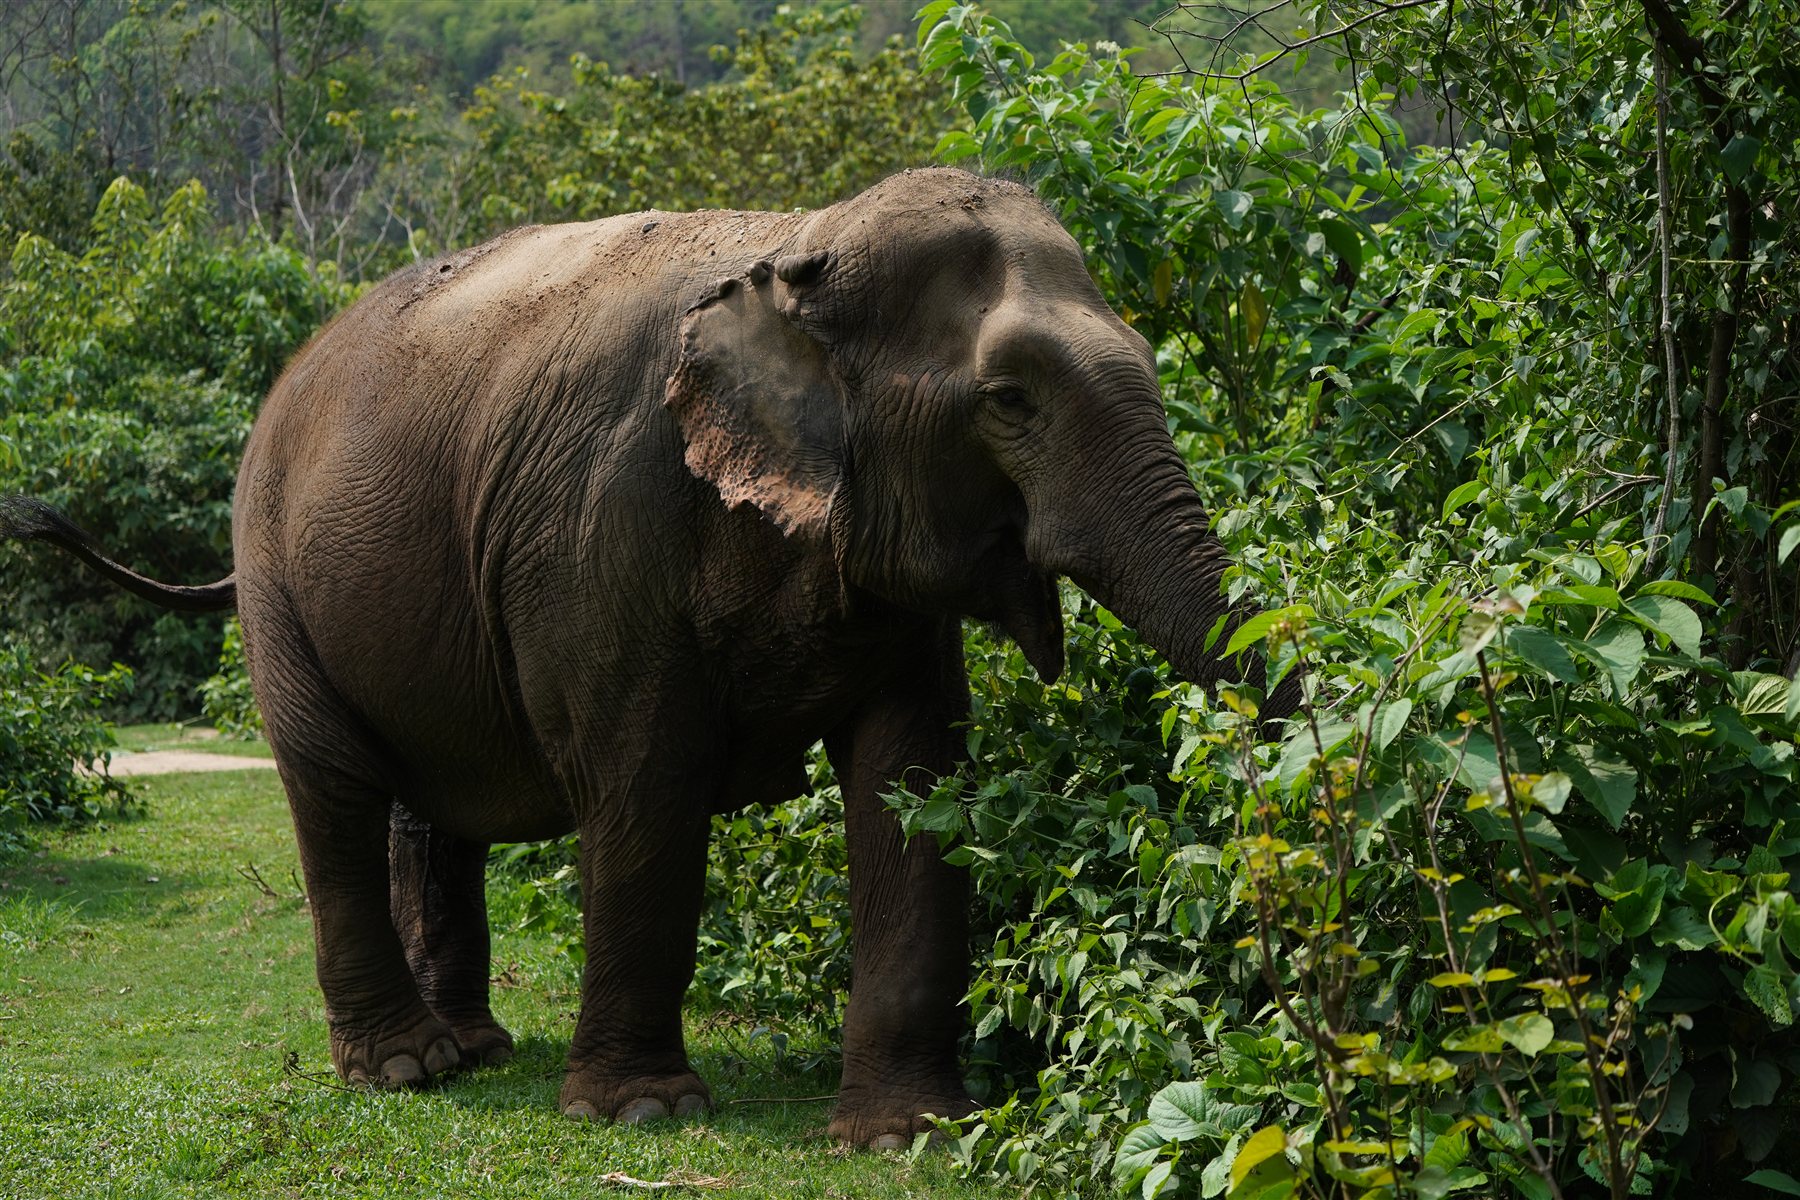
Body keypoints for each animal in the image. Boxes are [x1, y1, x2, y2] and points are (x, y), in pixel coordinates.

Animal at [1, 167, 1296, 1148]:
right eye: (1010, 399)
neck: (797, 244)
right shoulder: (600, 529)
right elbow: (644, 785)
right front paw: (643, 1115)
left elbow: (914, 786)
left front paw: (905, 1136)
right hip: (276, 572)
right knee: (334, 789)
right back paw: (407, 1071)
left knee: (432, 810)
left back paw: (475, 1051)